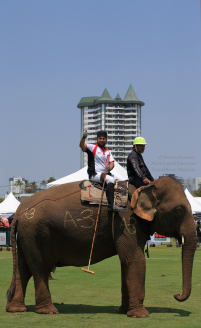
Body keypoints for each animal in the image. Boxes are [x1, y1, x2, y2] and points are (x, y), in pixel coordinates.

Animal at [6, 177, 196, 318]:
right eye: (179, 210)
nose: (176, 295)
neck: (145, 186)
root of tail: (19, 211)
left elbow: (125, 262)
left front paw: (124, 311)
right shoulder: (126, 221)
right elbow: (135, 259)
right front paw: (141, 315)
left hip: (26, 236)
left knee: (23, 268)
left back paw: (17, 309)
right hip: (35, 232)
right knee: (39, 267)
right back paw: (48, 311)